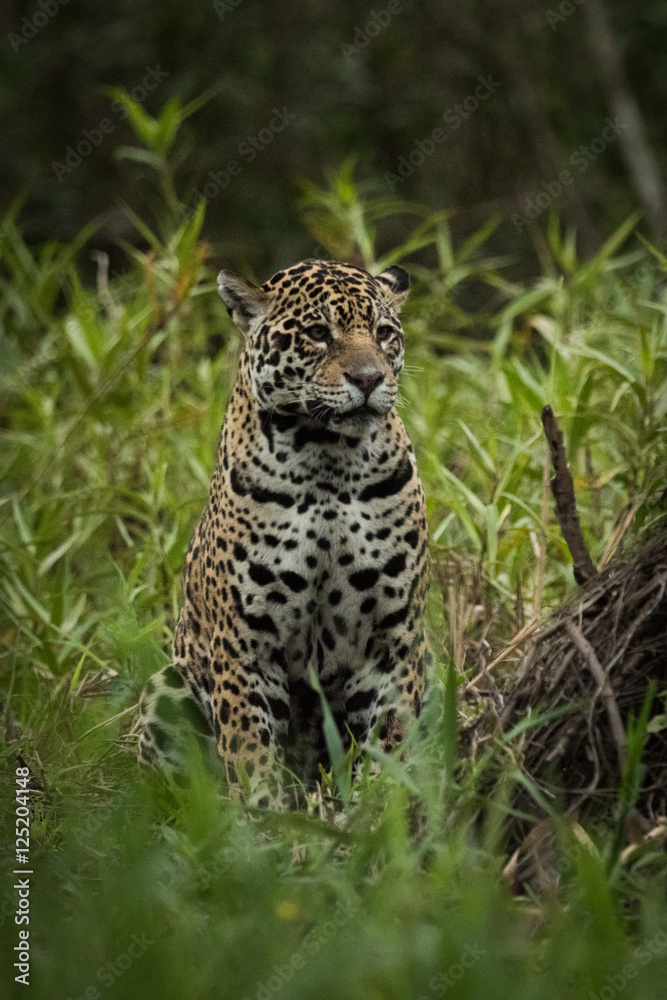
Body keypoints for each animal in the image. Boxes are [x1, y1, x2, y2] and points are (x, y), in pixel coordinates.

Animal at [136, 258, 429, 809]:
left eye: (383, 334)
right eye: (317, 333)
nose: (369, 378)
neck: (328, 459)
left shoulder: (394, 635)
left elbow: (391, 741)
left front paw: (381, 813)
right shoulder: (245, 642)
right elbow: (250, 752)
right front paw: (268, 824)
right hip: (166, 684)